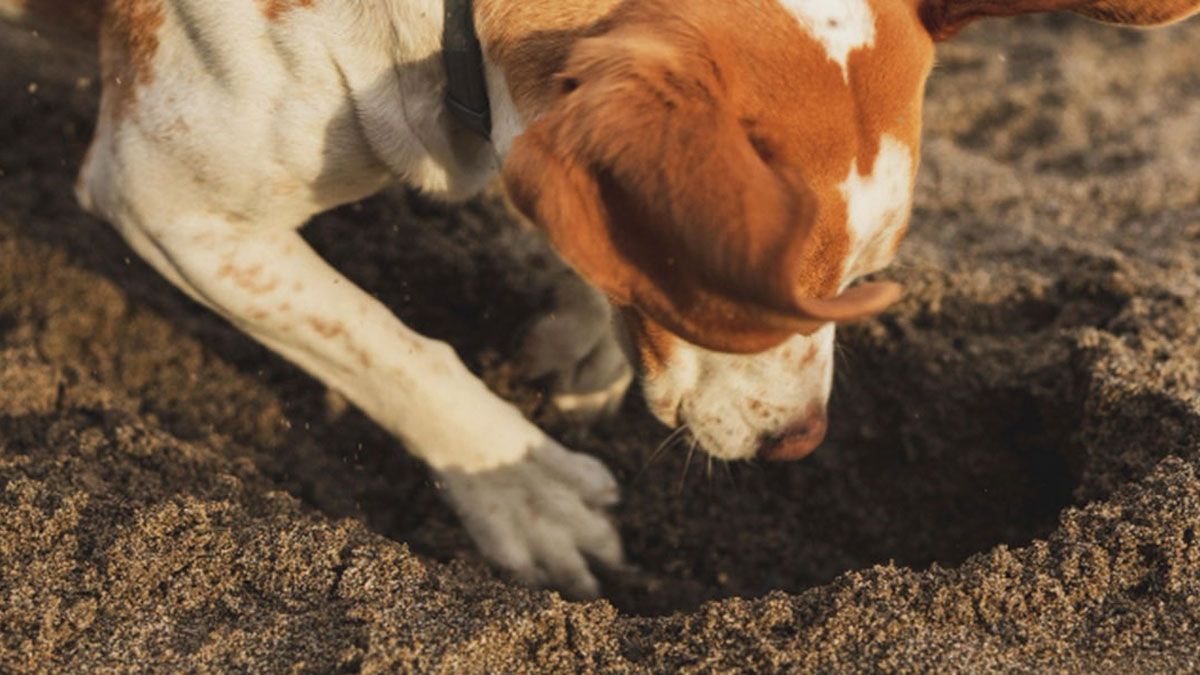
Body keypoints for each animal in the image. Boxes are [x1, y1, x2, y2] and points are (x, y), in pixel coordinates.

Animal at [4, 0, 1195, 595]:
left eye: (866, 279)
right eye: (756, 305)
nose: (804, 444)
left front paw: (588, 347)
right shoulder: (168, 198)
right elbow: (386, 343)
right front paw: (524, 489)